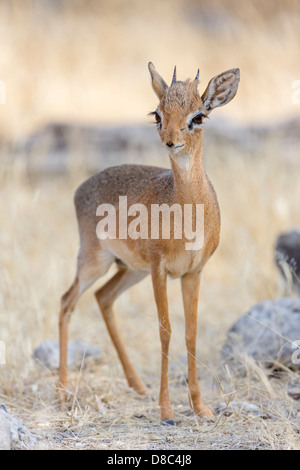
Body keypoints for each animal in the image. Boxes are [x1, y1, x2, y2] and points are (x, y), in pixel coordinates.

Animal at [58, 60, 240, 424]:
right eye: (157, 113)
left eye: (199, 116)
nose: (170, 141)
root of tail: (81, 187)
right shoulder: (160, 269)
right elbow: (165, 330)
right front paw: (166, 409)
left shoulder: (192, 273)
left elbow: (190, 332)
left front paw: (201, 408)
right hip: (93, 263)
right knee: (66, 302)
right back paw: (62, 393)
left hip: (129, 270)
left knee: (103, 297)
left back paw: (138, 385)